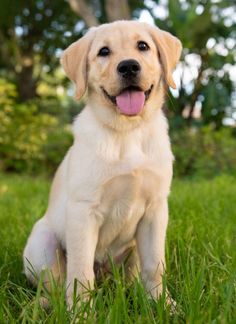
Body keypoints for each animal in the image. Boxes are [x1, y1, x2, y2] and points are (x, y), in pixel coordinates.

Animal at [23, 19, 183, 308]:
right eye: (104, 52)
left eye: (143, 46)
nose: (129, 66)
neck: (127, 131)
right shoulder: (83, 211)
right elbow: (80, 273)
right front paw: (81, 312)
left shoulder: (155, 210)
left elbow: (155, 266)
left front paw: (165, 306)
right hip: (42, 243)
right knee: (54, 285)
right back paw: (43, 306)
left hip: (132, 251)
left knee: (132, 275)